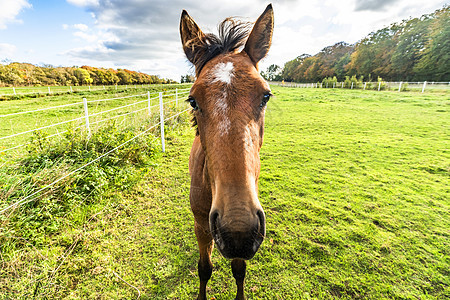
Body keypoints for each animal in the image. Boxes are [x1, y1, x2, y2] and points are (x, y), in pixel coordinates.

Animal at [179, 4, 274, 300]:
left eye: (265, 96)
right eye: (192, 100)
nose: (237, 230)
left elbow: (239, 270)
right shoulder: (201, 225)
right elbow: (204, 268)